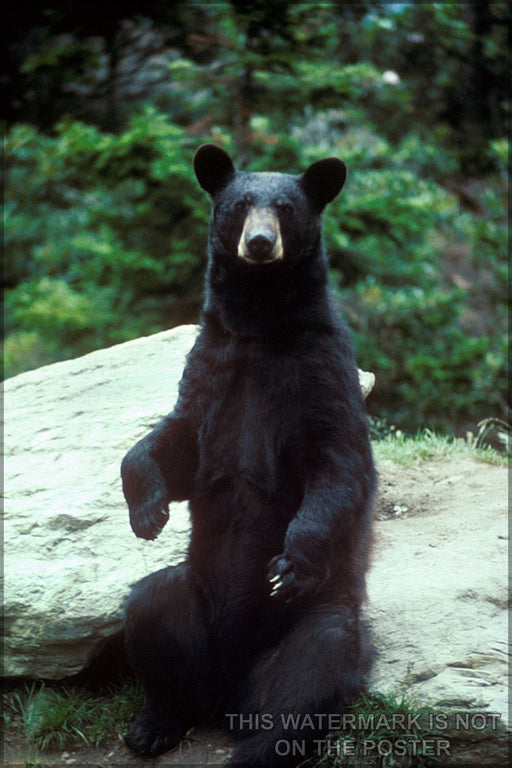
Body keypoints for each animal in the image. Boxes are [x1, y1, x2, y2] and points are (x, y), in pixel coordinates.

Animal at [121, 146, 374, 768]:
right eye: (238, 205)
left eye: (285, 207)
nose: (259, 243)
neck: (260, 329)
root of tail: (228, 696)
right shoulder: (212, 366)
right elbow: (176, 441)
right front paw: (148, 512)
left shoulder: (323, 372)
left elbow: (337, 465)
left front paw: (290, 561)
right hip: (191, 605)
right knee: (150, 610)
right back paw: (154, 725)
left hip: (310, 623)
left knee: (312, 671)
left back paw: (258, 747)